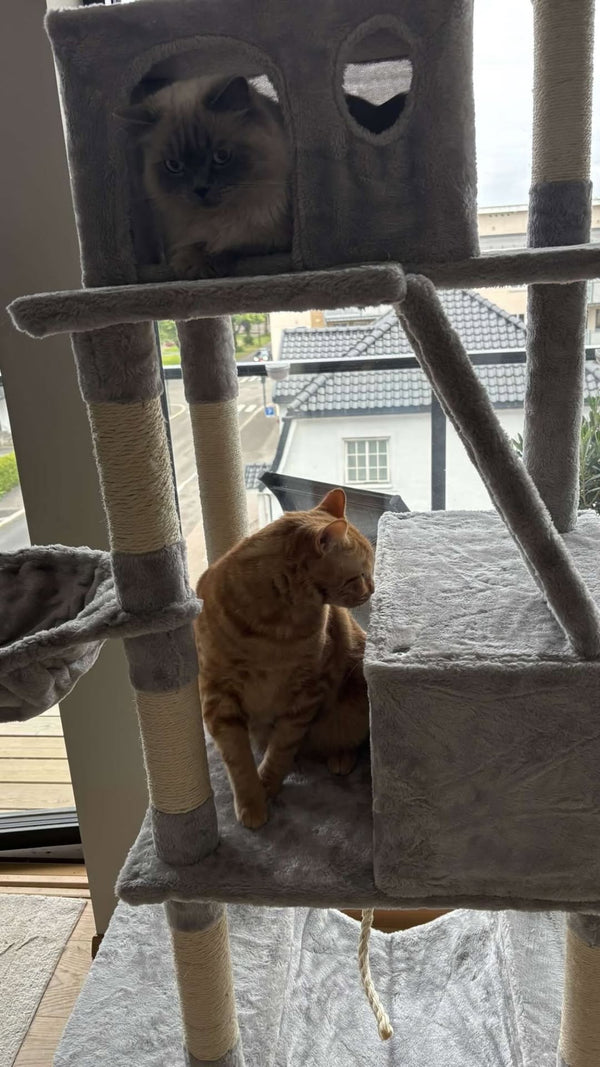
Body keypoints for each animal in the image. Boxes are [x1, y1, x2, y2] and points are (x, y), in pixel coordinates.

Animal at [118, 75, 292, 279]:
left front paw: (197, 263)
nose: (200, 189)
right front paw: (187, 264)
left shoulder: (272, 238)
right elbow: (194, 244)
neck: (219, 218)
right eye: (174, 165)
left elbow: (233, 244)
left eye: (221, 156)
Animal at [194, 488, 374, 829]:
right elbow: (238, 760)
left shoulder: (305, 694)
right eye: (358, 575)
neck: (273, 627)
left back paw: (340, 756)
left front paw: (266, 785)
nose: (372, 589)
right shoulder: (218, 694)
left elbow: (281, 748)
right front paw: (251, 801)